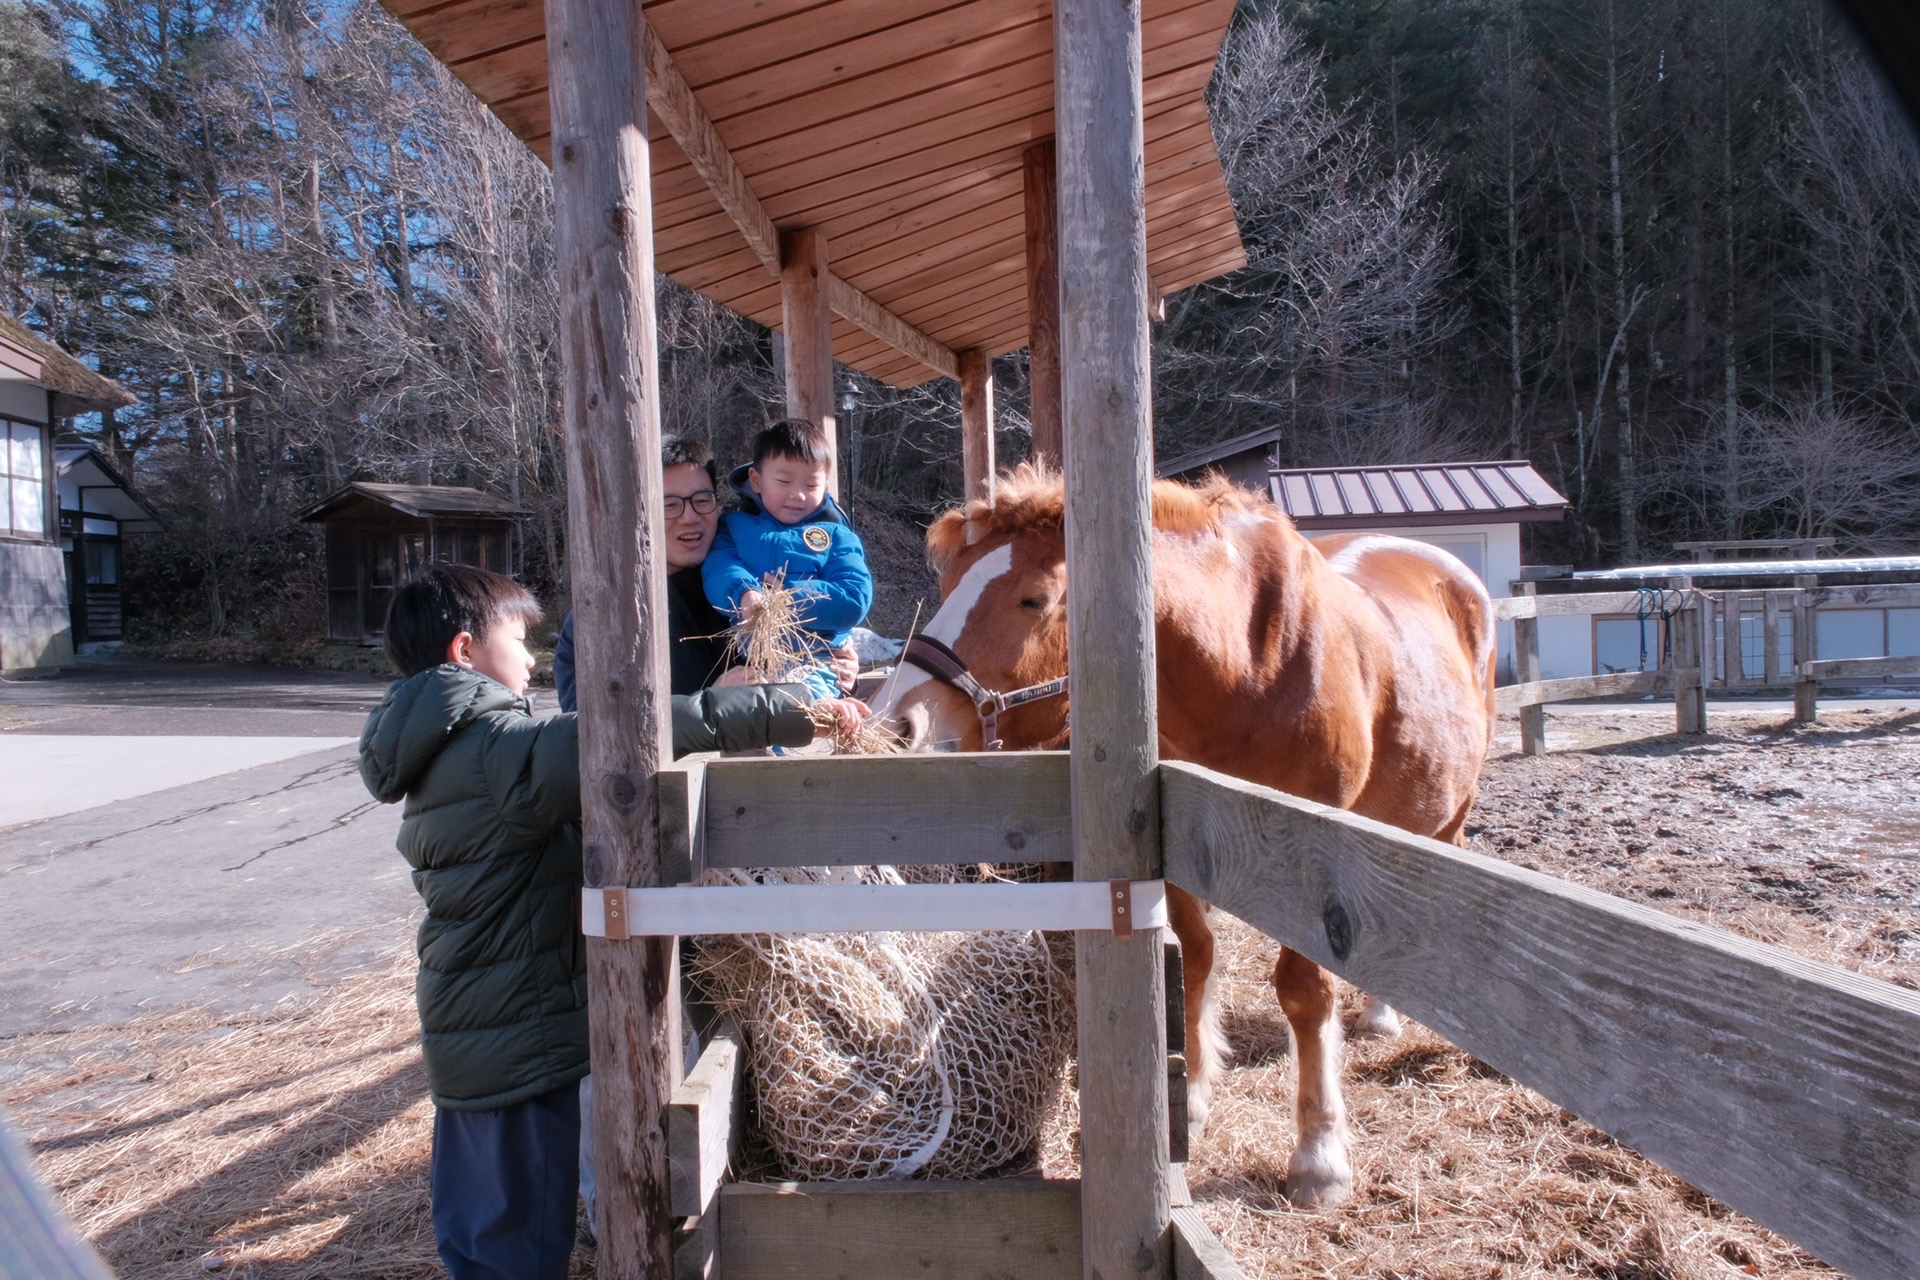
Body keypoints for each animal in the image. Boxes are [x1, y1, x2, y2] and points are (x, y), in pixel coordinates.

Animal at [875, 466, 1497, 1205]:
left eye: (1035, 599)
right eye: (947, 585)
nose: (899, 724)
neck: (1247, 664)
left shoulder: (1310, 859)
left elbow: (1304, 991)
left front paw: (1319, 1153)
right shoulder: (1172, 839)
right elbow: (1194, 960)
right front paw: (1191, 1098)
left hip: (1447, 814)